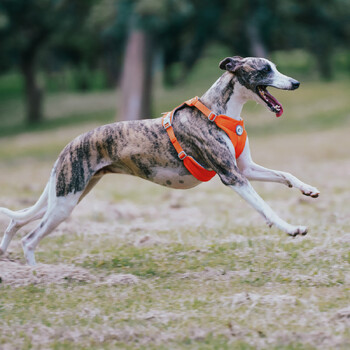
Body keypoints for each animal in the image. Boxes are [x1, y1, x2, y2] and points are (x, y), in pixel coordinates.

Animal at [0, 56, 320, 266]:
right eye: (265, 69)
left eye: (276, 67)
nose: (296, 83)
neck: (219, 111)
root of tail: (68, 145)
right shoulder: (232, 176)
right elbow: (266, 207)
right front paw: (291, 228)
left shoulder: (245, 169)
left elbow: (285, 174)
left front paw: (308, 189)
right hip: (65, 202)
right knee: (29, 238)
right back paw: (38, 276)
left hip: (67, 196)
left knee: (17, 221)